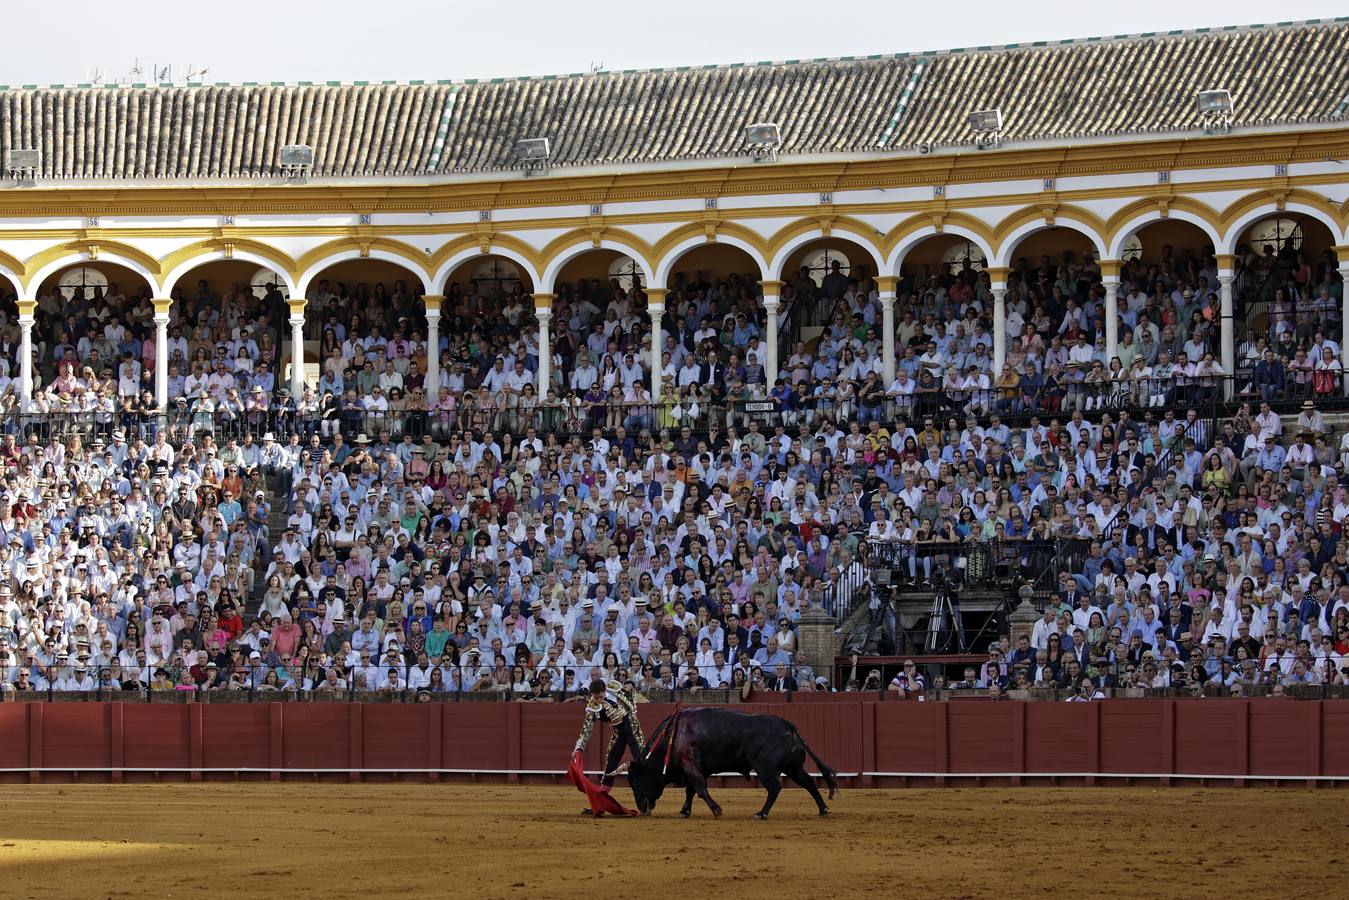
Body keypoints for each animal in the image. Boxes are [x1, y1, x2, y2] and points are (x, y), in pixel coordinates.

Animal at [625, 707, 836, 820]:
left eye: (634, 781)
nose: (641, 810)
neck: (674, 735)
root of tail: (787, 725)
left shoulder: (690, 764)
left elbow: (700, 788)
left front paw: (717, 810)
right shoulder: (694, 767)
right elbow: (691, 790)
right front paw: (685, 811)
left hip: (765, 769)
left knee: (775, 788)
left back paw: (761, 814)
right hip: (792, 767)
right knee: (808, 782)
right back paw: (823, 810)